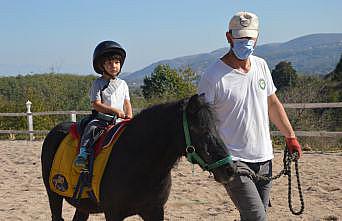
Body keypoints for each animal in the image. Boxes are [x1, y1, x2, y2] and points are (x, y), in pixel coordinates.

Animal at [40, 93, 235, 221]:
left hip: (82, 205)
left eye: (215, 127)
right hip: (54, 195)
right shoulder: (113, 213)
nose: (229, 169)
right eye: (199, 129)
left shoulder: (155, 211)